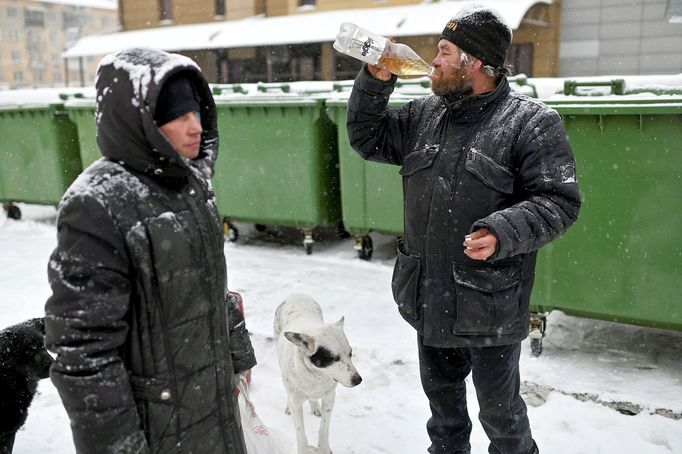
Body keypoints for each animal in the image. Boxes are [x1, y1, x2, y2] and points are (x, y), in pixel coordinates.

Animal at [274, 292, 364, 452]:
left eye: (350, 353)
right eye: (334, 358)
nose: (358, 380)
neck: (316, 376)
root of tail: (297, 293)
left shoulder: (329, 397)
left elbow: (324, 428)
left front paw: (324, 449)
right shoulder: (296, 402)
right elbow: (300, 432)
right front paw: (303, 450)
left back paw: (315, 405)